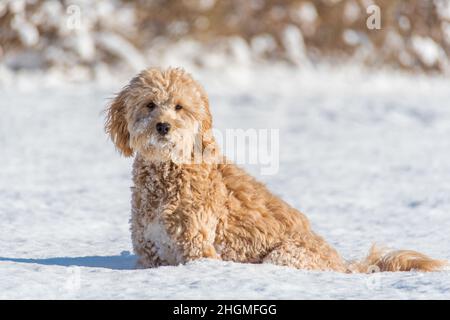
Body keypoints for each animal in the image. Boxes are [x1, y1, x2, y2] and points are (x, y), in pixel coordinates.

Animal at [105, 67, 446, 272]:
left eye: (179, 106)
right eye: (149, 104)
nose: (163, 126)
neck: (167, 174)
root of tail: (342, 265)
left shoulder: (198, 249)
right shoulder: (149, 252)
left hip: (283, 254)